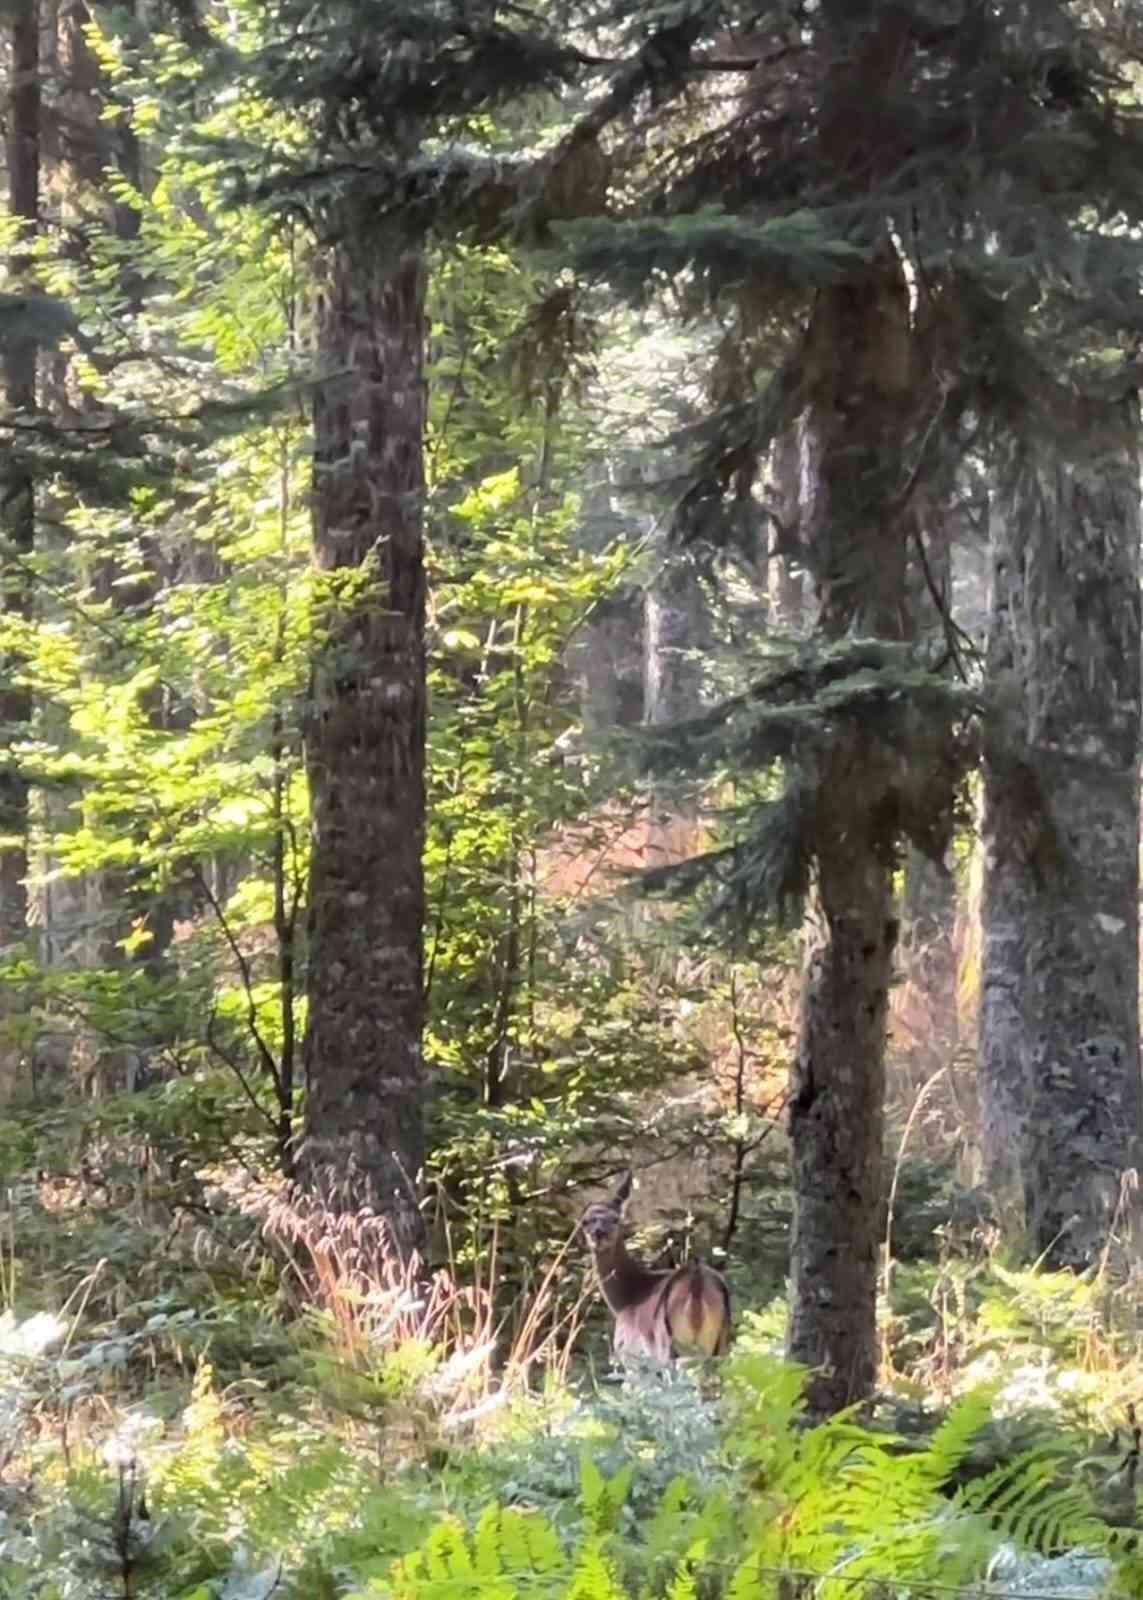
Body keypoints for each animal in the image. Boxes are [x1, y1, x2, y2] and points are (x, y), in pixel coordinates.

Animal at [579, 1164, 729, 1363]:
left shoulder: (629, 1355)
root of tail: (697, 1284)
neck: (625, 1301)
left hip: (668, 1347)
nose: (599, 1232)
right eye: (584, 1221)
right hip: (720, 1346)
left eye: (616, 1219)